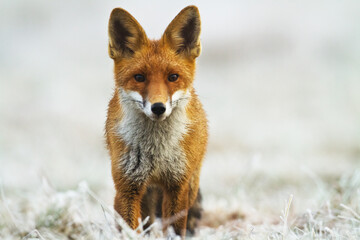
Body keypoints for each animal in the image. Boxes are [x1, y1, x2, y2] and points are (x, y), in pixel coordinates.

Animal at [104, 5, 208, 236]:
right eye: (139, 77)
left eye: (173, 77)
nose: (158, 108)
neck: (156, 152)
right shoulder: (128, 187)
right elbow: (130, 230)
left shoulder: (176, 186)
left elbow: (175, 229)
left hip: (190, 186)